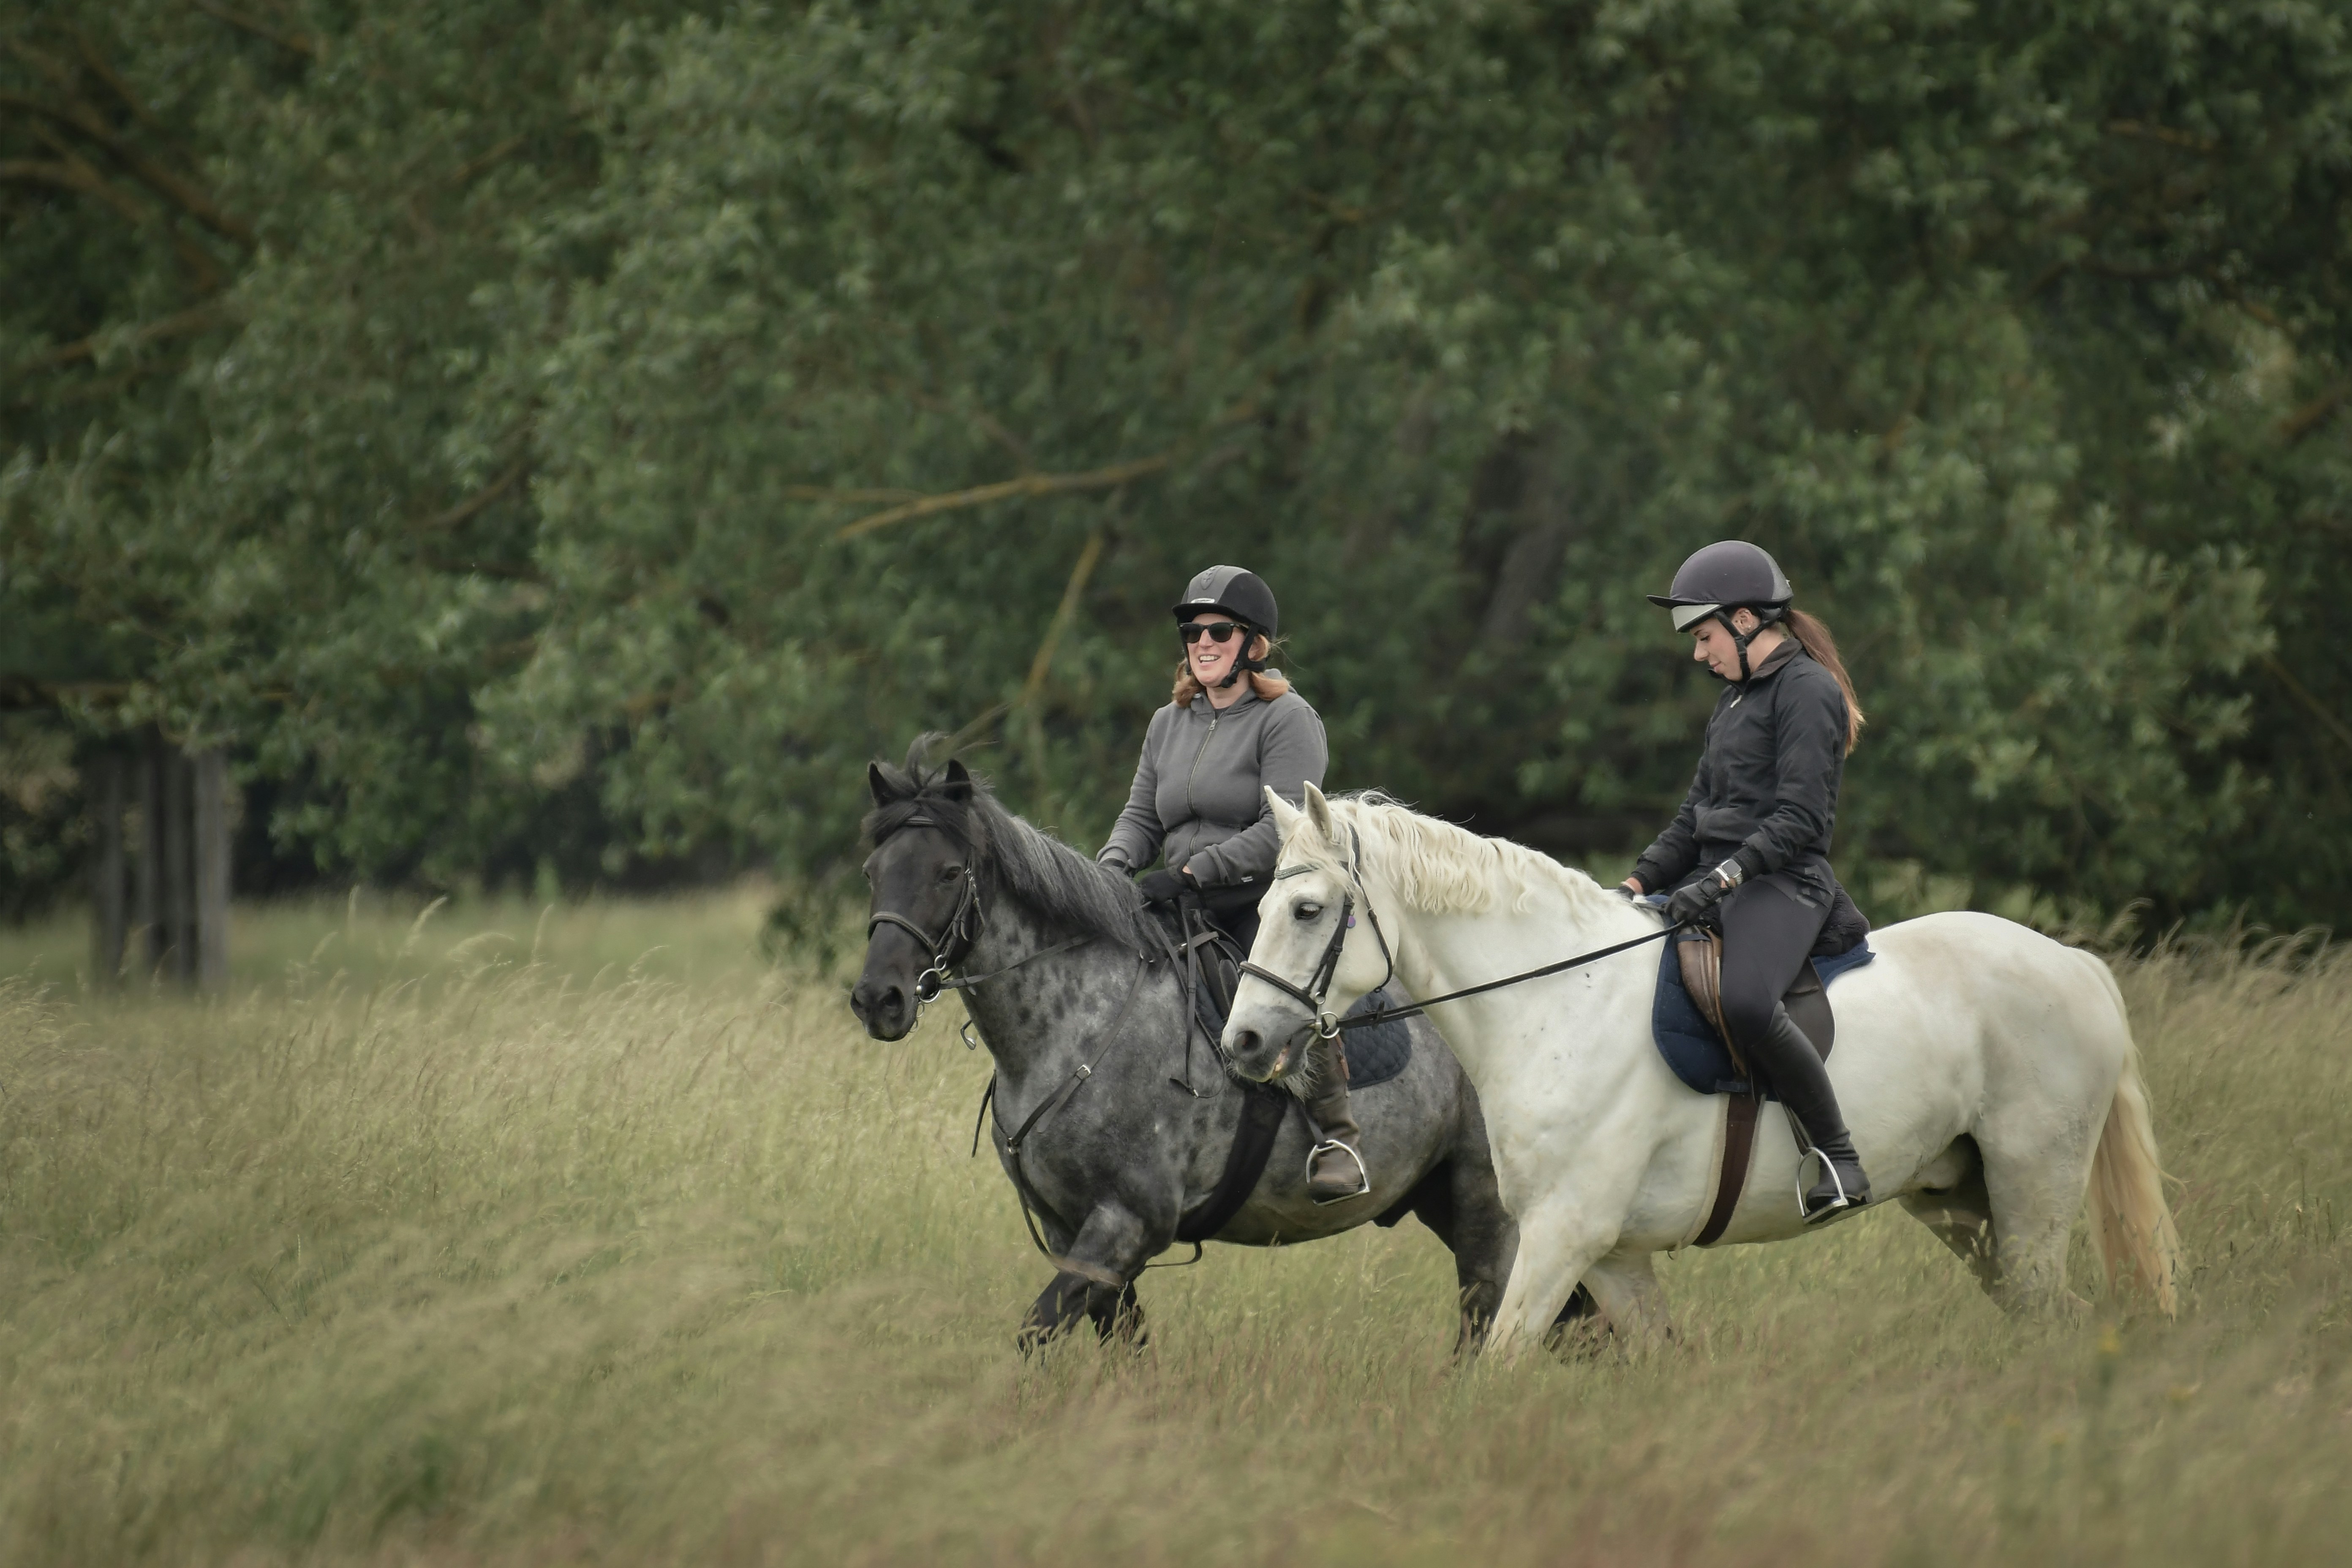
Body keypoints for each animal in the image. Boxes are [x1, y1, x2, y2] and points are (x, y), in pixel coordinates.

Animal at [846, 742, 1592, 1349]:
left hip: (1486, 1209)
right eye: (873, 871)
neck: (1075, 1028)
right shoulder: (1074, 1231)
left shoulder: (1124, 1225)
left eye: (948, 873)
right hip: (1444, 1199)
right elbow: (1122, 1346)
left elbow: (1038, 1332)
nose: (879, 1000)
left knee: (1489, 1320)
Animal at [1220, 784, 2184, 1358]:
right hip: (1961, 1201)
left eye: (1307, 910)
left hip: (2031, 1192)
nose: (1243, 1042)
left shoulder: (1561, 1236)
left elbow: (1501, 1361)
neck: (1556, 1000)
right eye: (1261, 904)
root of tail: (2075, 963)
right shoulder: (1609, 1255)